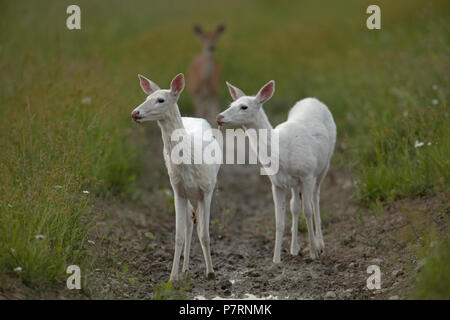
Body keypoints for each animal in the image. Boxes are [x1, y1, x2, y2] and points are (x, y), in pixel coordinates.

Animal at [131, 73, 221, 280]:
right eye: (147, 97)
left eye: (160, 100)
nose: (135, 113)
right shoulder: (177, 190)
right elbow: (178, 235)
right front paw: (172, 277)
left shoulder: (207, 190)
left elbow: (205, 234)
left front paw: (211, 273)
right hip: (183, 191)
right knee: (190, 220)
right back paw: (185, 269)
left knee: (196, 222)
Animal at [216, 80, 336, 262]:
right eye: (231, 104)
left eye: (244, 106)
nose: (219, 117)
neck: (280, 151)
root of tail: (313, 99)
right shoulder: (276, 183)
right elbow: (279, 221)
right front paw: (276, 259)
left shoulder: (307, 174)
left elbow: (308, 211)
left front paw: (313, 253)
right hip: (294, 182)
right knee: (295, 206)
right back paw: (294, 248)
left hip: (324, 165)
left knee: (315, 199)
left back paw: (320, 245)